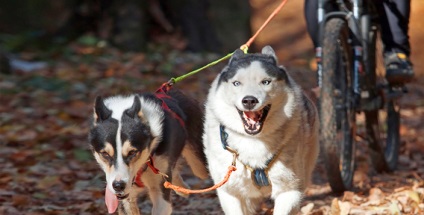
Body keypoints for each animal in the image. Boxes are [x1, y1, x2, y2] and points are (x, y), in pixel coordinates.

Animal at [202, 45, 318, 215]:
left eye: (266, 82)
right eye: (236, 83)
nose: (249, 100)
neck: (254, 140)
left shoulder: (290, 190)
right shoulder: (230, 192)